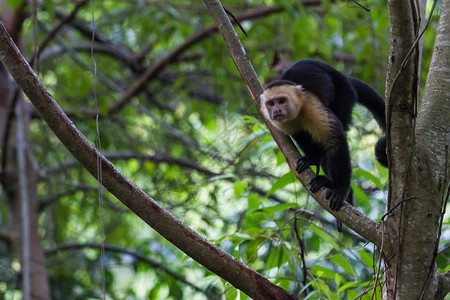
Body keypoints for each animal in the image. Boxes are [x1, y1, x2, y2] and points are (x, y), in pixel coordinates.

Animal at [260, 59, 386, 232]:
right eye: (271, 103)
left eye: (281, 101)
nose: (277, 110)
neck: (298, 109)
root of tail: (346, 78)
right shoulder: (281, 123)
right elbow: (300, 134)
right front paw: (313, 158)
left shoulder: (310, 105)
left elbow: (335, 139)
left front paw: (340, 189)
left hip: (344, 92)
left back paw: (338, 188)